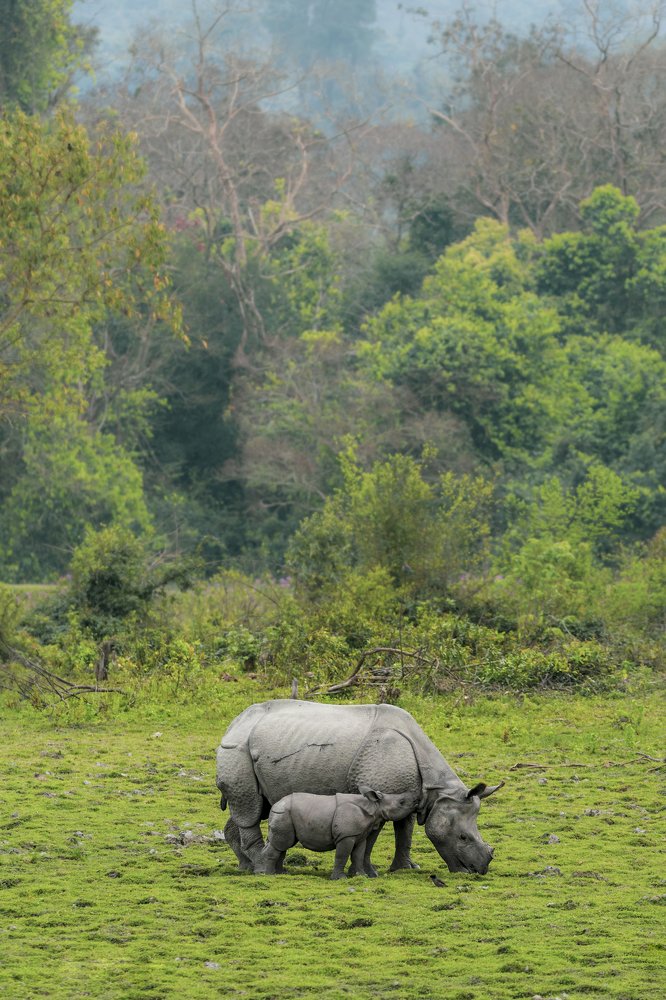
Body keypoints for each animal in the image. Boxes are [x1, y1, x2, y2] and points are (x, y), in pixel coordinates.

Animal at [216, 699, 503, 876]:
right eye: (463, 837)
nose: (478, 870)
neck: (437, 791)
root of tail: (234, 723)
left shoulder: (413, 796)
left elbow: (405, 831)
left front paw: (406, 869)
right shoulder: (377, 796)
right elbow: (371, 836)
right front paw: (368, 872)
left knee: (253, 807)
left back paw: (248, 867)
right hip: (236, 748)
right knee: (250, 810)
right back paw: (260, 868)